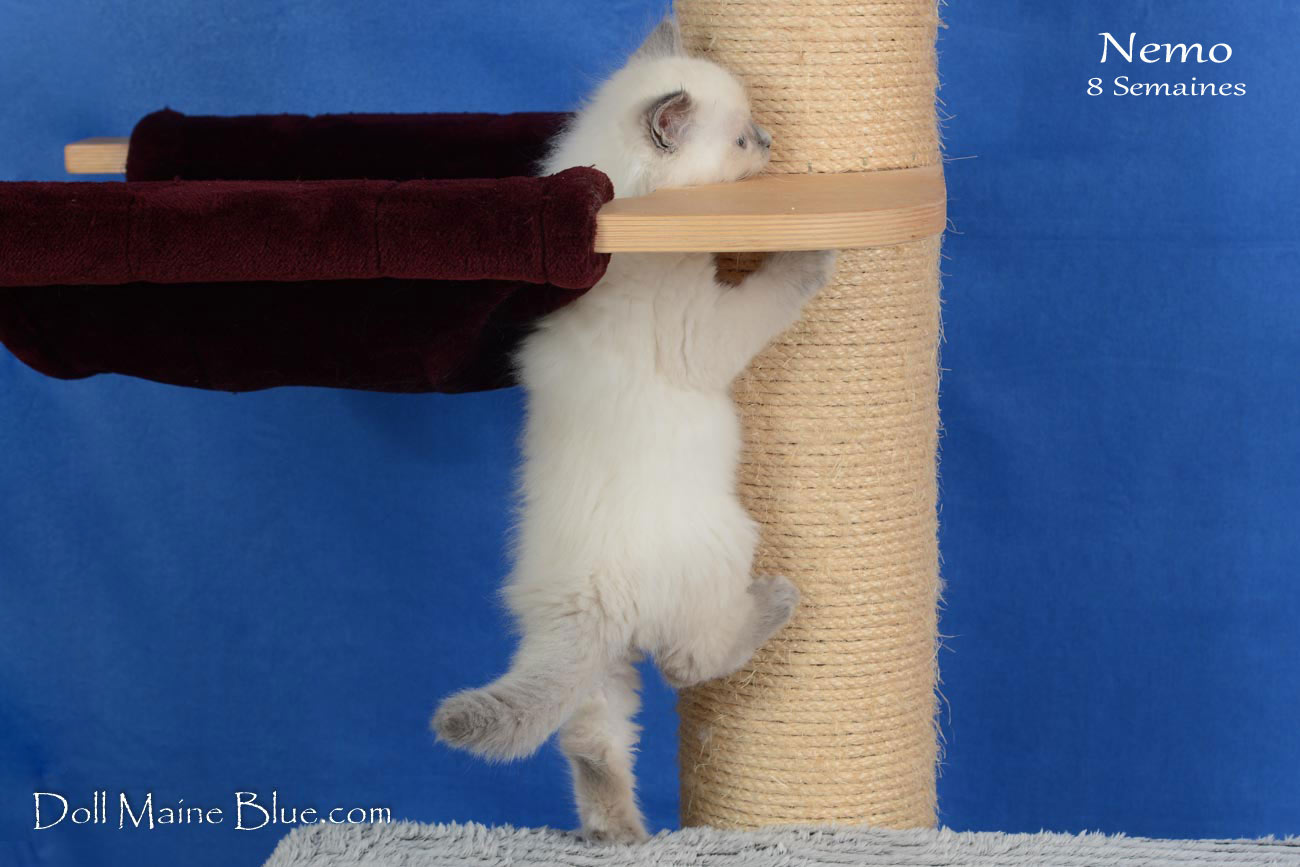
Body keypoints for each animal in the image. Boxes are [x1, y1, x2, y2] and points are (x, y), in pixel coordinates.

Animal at [432, 16, 837, 843]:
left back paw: (619, 833)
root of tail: (587, 597)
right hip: (723, 543)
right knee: (689, 659)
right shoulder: (700, 334)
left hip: (594, 668)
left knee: (591, 741)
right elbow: (769, 295)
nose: (772, 138)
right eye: (742, 138)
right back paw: (777, 600)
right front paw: (808, 244)